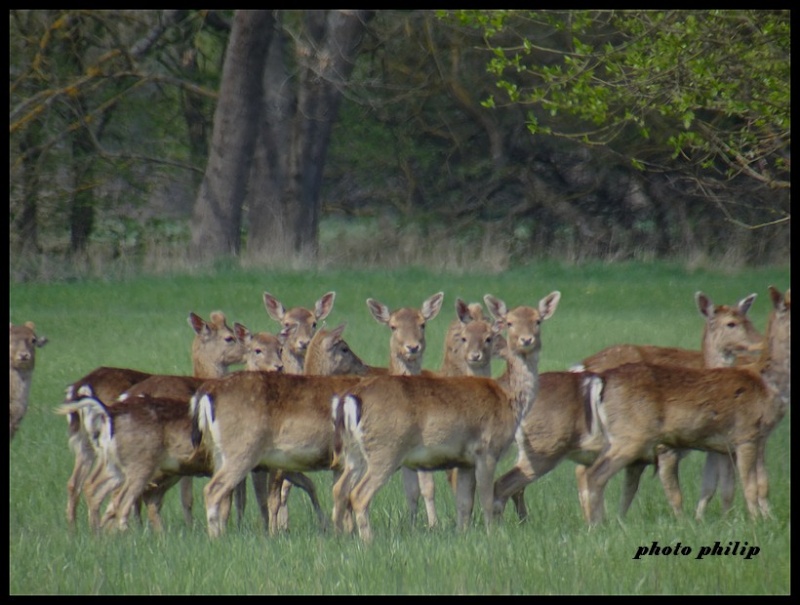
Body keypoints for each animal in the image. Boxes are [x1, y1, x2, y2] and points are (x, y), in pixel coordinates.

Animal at [328, 290, 560, 540]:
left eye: (538, 320)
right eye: (509, 322)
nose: (526, 340)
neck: (507, 397)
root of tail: (352, 398)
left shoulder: (465, 460)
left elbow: (464, 503)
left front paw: (463, 534)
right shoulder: (486, 448)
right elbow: (487, 499)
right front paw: (492, 535)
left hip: (355, 452)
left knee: (340, 488)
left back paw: (340, 536)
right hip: (386, 447)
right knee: (359, 494)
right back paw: (368, 541)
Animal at [494, 290, 764, 520]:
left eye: (747, 319)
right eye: (731, 323)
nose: (759, 343)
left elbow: (713, 485)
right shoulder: (668, 448)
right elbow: (677, 493)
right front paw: (686, 522)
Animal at [580, 286, 792, 528]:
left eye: (749, 320)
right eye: (731, 323)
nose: (758, 343)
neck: (768, 383)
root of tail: (599, 380)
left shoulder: (746, 441)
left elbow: (751, 485)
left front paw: (752, 520)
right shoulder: (745, 434)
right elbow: (749, 486)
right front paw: (756, 521)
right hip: (631, 436)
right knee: (593, 475)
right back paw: (596, 525)